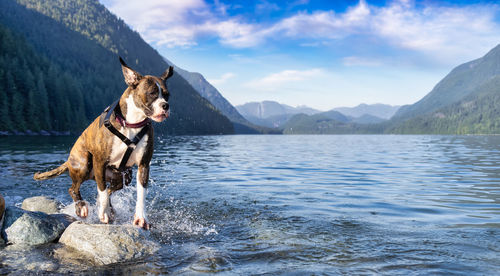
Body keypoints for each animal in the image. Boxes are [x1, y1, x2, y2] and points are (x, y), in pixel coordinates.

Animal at [34, 57, 173, 230]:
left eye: (167, 95)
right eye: (152, 93)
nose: (165, 106)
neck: (132, 123)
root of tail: (69, 159)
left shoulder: (143, 165)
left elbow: (140, 193)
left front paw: (141, 217)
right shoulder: (99, 161)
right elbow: (101, 190)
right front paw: (104, 213)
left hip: (123, 177)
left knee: (108, 190)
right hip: (84, 164)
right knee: (74, 188)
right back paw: (82, 207)